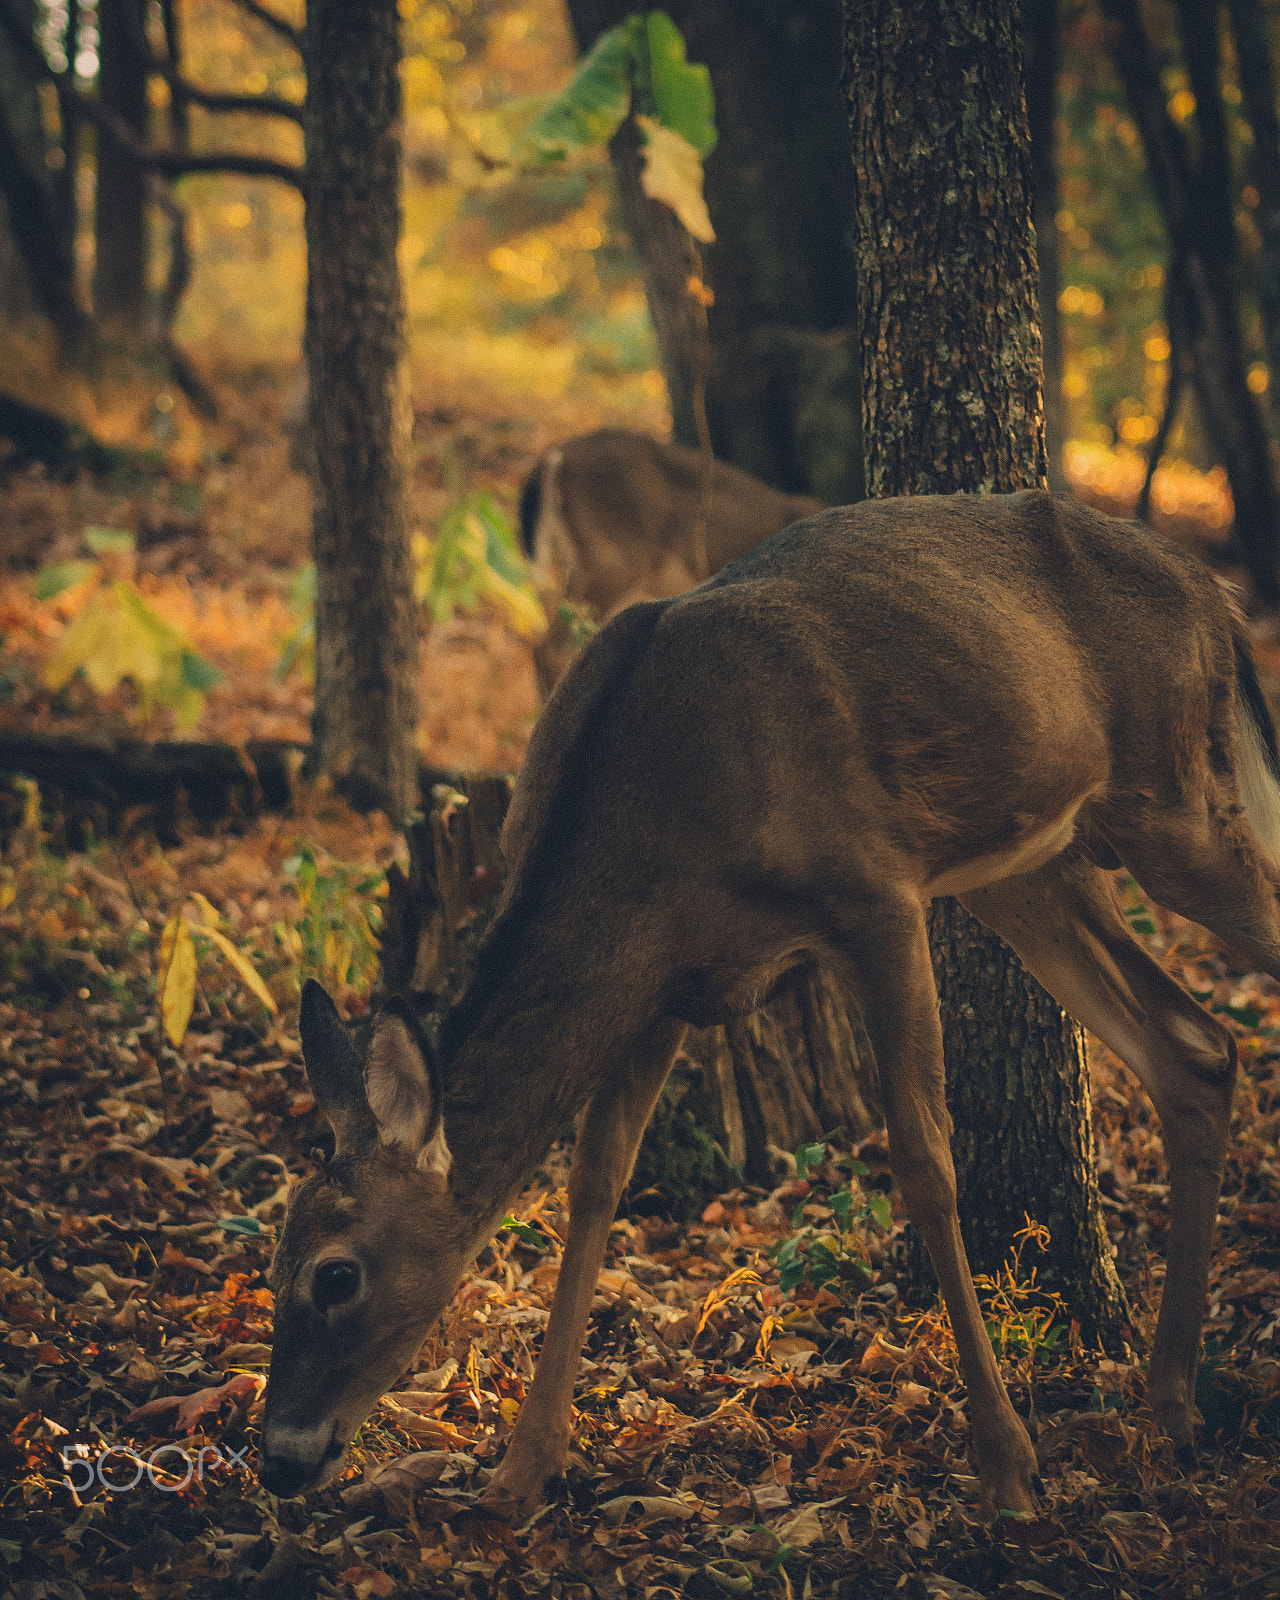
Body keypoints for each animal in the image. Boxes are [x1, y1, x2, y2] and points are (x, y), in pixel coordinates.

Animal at [260, 488, 1280, 1519]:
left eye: (334, 1276)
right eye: (271, 1260)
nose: (277, 1458)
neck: (662, 830)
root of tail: (1219, 599)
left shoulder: (875, 893)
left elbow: (925, 1164)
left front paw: (1007, 1464)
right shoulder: (664, 985)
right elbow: (594, 1187)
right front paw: (522, 1471)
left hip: (1178, 801)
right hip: (1033, 867)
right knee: (1194, 1048)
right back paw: (1172, 1404)